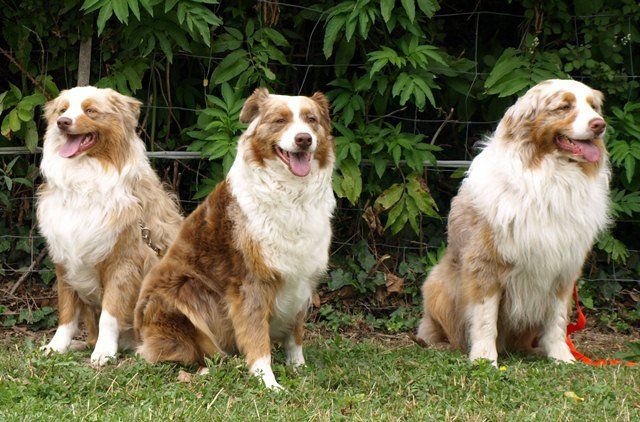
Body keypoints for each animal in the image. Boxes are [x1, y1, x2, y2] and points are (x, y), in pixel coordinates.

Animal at [37, 86, 182, 366]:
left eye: (91, 111)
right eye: (62, 110)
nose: (63, 123)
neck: (83, 181)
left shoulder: (124, 263)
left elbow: (109, 314)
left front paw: (104, 351)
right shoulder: (64, 258)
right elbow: (66, 314)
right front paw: (56, 347)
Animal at [133, 88, 338, 390]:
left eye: (311, 120)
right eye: (280, 120)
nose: (304, 139)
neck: (291, 195)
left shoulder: (303, 277)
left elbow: (296, 333)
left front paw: (299, 368)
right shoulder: (250, 282)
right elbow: (256, 335)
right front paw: (268, 382)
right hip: (181, 290)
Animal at [416, 79, 608, 366]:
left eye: (593, 106)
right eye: (564, 107)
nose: (599, 124)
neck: (552, 176)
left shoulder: (564, 268)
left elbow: (557, 321)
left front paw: (562, 357)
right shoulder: (485, 263)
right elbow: (485, 319)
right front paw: (485, 360)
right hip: (437, 284)